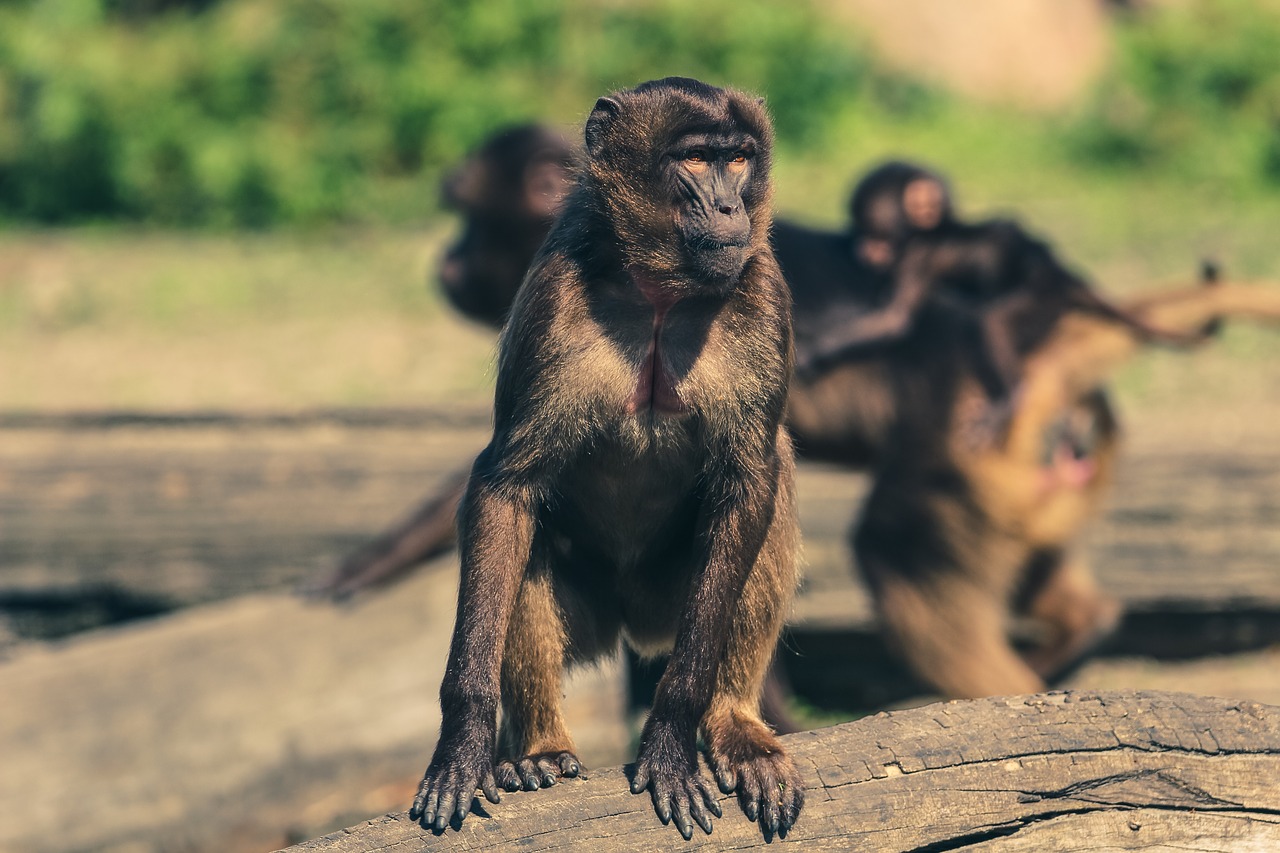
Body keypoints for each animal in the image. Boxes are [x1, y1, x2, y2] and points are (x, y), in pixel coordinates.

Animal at [409, 79, 803, 835]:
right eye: (696, 159)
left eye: (738, 159)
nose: (730, 207)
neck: (659, 292)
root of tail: (633, 625)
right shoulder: (553, 297)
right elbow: (505, 487)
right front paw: (464, 741)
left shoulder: (764, 291)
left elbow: (749, 481)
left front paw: (673, 734)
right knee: (524, 534)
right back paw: (540, 748)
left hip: (670, 601)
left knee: (774, 480)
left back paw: (734, 723)